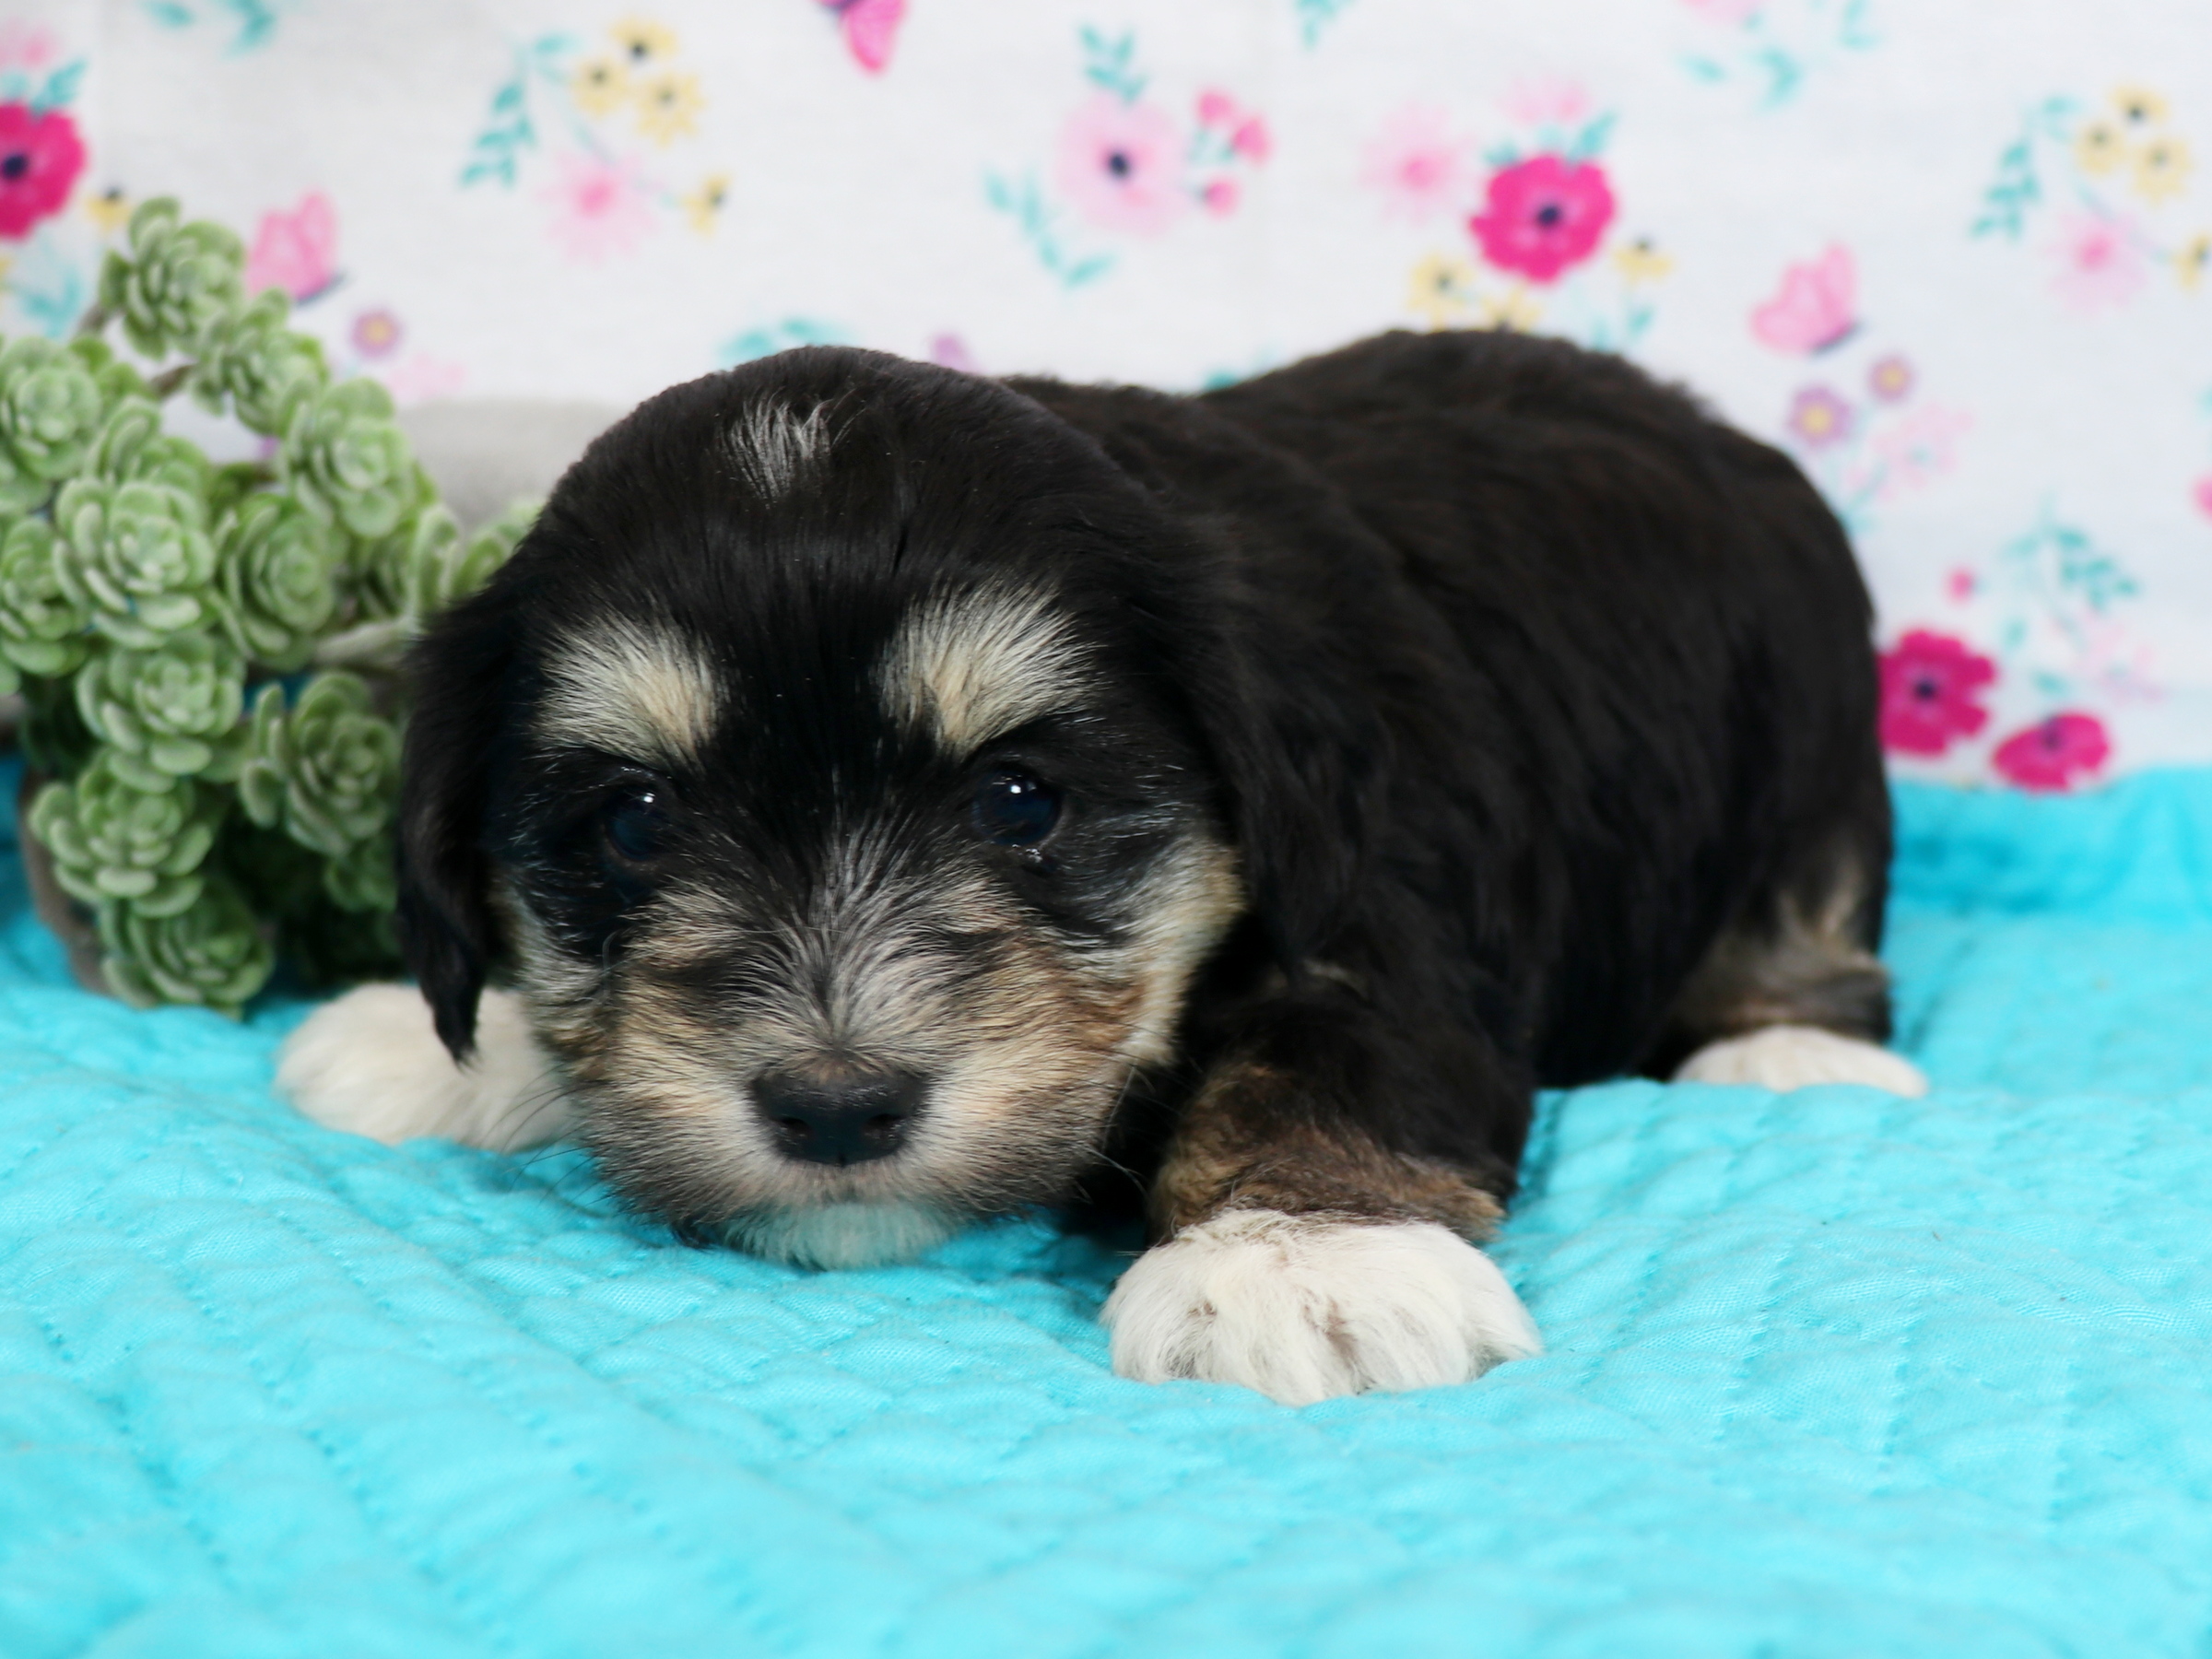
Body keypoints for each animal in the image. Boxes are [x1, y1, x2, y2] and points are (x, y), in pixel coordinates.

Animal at [280, 330, 1928, 1407]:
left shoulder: (1379, 920)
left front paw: (1306, 1263)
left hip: (1811, 758)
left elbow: (1323, 1062)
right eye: (633, 824)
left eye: (1022, 804)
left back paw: (1788, 1055)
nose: (835, 1107)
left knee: (1812, 920)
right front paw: (438, 1040)